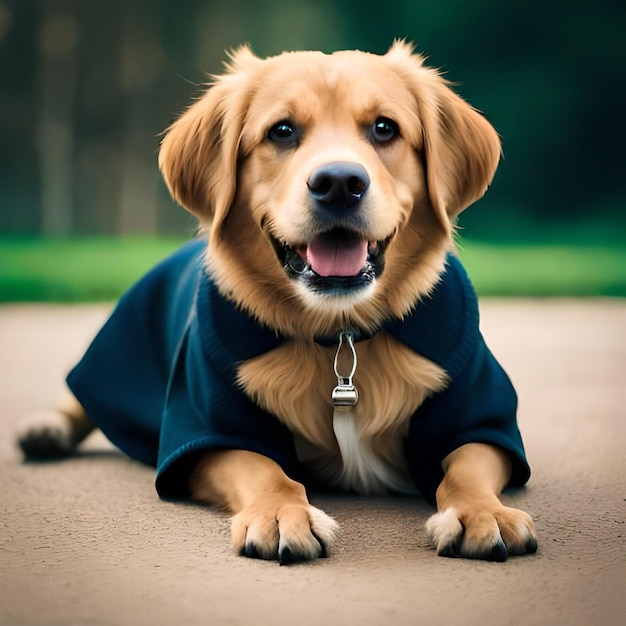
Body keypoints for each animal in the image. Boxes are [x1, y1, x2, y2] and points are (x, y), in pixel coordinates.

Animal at [19, 41, 536, 564]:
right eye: (282, 131)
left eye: (384, 128)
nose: (339, 183)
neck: (340, 335)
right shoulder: (208, 422)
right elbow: (262, 467)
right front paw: (281, 514)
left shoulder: (479, 412)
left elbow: (467, 465)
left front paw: (482, 512)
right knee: (79, 395)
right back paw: (45, 428)